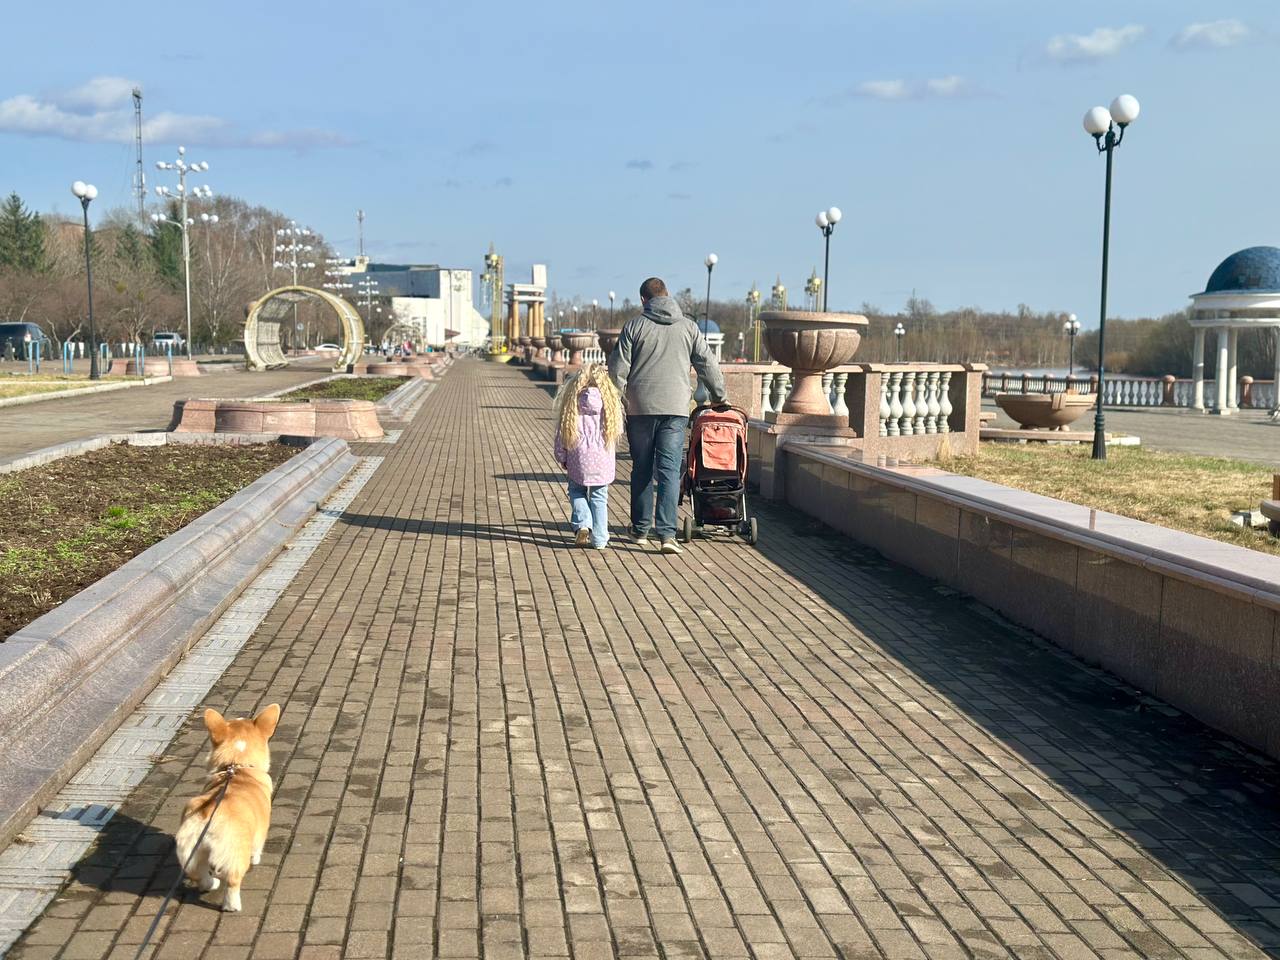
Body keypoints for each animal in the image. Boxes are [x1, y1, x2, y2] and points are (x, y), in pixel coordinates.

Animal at [174, 701, 281, 911]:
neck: (237, 763)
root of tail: (208, 817)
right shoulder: (260, 832)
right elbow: (257, 848)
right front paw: (256, 859)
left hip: (190, 852)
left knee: (199, 875)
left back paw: (211, 884)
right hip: (235, 852)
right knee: (232, 881)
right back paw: (232, 905)